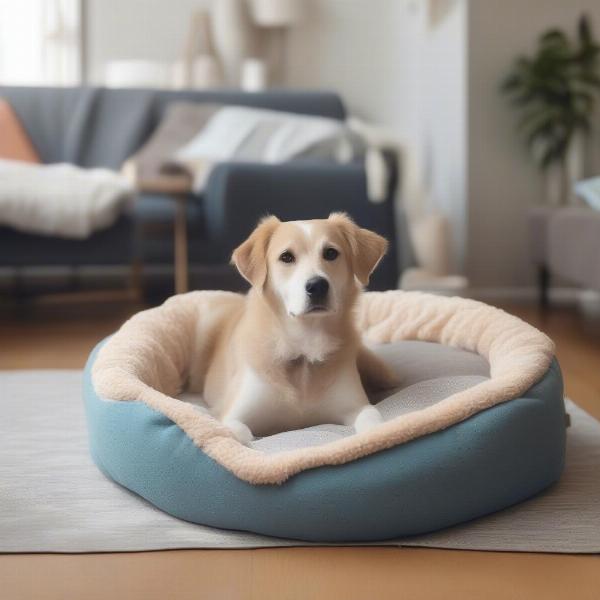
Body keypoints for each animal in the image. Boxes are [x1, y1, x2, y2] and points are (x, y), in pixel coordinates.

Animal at [196, 213, 398, 442]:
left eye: (330, 253)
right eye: (286, 257)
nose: (317, 286)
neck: (304, 350)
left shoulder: (356, 406)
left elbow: (373, 420)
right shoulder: (232, 417)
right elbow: (240, 436)